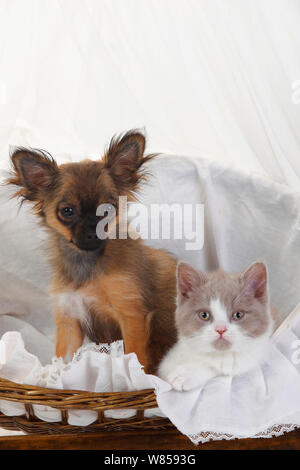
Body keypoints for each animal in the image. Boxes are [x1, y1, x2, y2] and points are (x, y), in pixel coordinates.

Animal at [7, 130, 178, 372]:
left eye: (108, 210)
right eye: (67, 211)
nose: (91, 230)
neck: (87, 262)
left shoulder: (131, 315)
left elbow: (134, 356)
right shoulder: (70, 318)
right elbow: (62, 359)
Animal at [158, 262, 278, 392]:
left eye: (238, 315)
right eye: (204, 315)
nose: (221, 329)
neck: (220, 354)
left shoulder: (256, 355)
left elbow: (218, 369)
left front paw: (187, 374)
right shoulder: (169, 361)